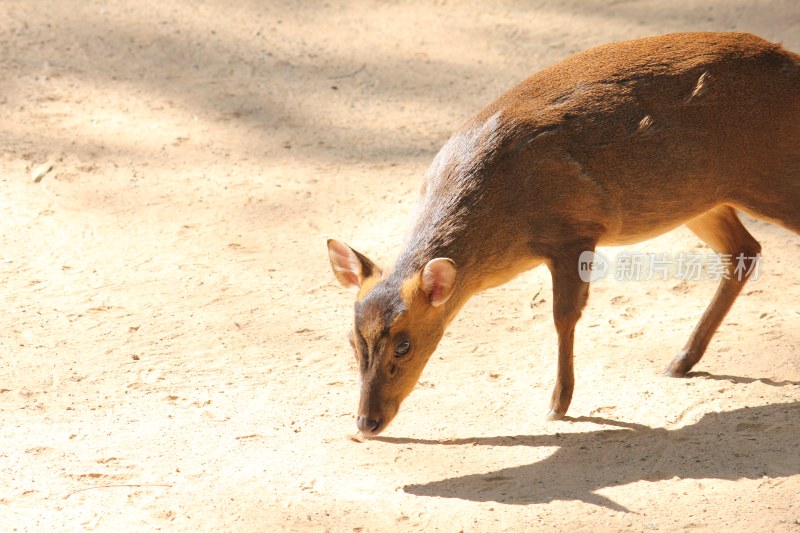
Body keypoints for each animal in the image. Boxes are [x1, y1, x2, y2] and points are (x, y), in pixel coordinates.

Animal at [326, 31, 800, 434]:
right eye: (352, 338)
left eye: (404, 345)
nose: (366, 423)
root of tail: (791, 62)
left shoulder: (573, 230)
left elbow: (563, 316)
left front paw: (558, 403)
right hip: (699, 198)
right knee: (745, 251)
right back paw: (680, 361)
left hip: (769, 176)